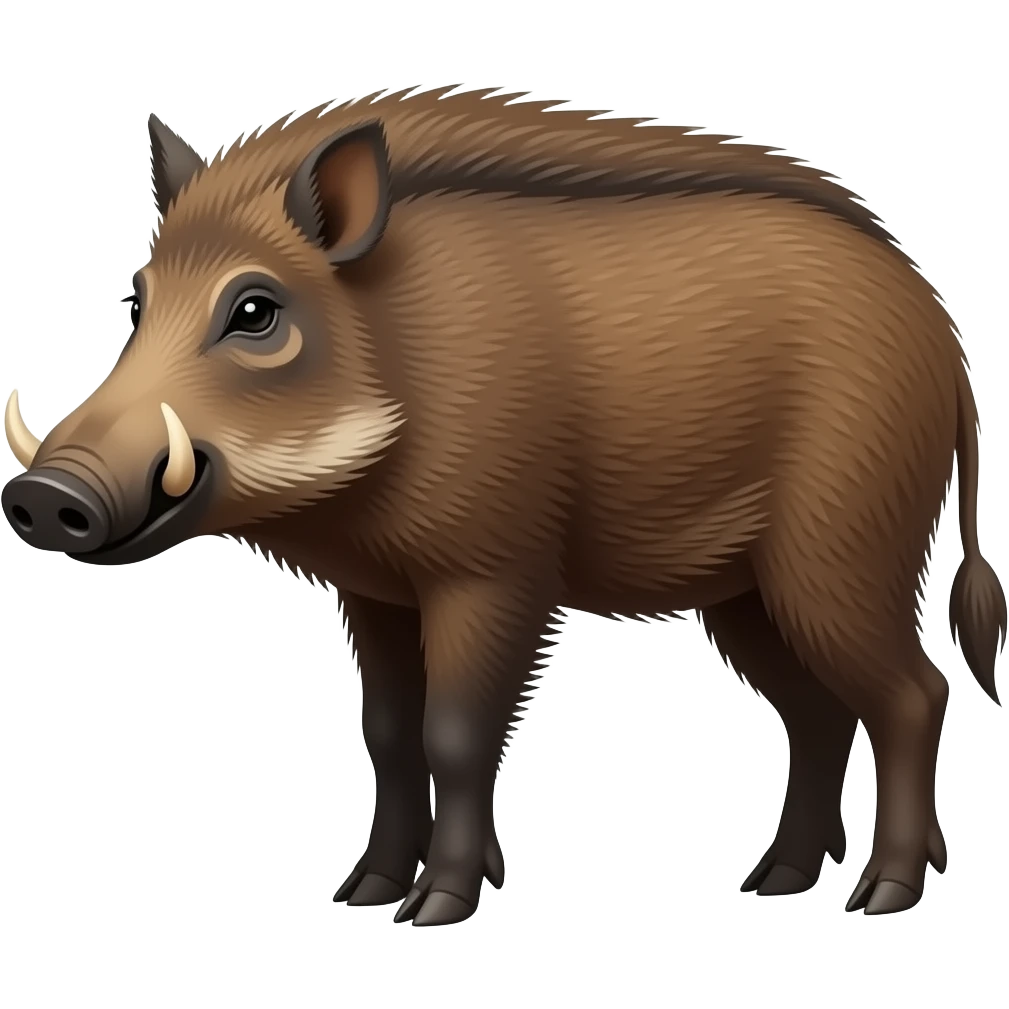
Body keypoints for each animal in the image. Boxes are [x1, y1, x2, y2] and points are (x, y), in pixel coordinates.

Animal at [2, 85, 1005, 925]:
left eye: (254, 310)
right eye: (137, 302)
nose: (42, 496)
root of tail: (948, 341)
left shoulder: (493, 573)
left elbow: (455, 733)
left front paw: (437, 907)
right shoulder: (374, 593)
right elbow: (388, 734)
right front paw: (363, 894)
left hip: (841, 549)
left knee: (911, 694)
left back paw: (880, 896)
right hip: (745, 594)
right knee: (816, 712)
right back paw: (774, 881)